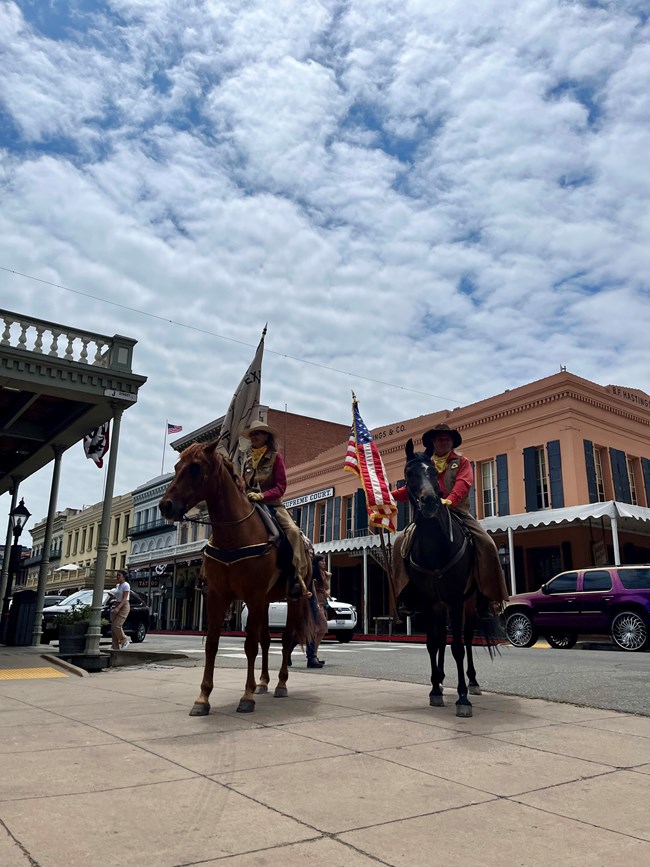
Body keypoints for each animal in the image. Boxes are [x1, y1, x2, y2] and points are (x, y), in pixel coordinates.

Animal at [158, 444, 312, 716]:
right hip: (266, 601)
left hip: (291, 599)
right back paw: (263, 682)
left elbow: (249, 645)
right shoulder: (218, 596)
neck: (234, 534)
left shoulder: (253, 595)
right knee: (267, 640)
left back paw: (281, 684)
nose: (165, 505)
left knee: (285, 640)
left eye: (195, 467)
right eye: (176, 467)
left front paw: (246, 696)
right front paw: (203, 698)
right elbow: (212, 644)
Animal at [400, 440, 496, 720]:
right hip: (439, 605)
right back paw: (440, 679)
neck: (435, 546)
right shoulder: (427, 601)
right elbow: (433, 643)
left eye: (433, 472)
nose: (431, 502)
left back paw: (472, 682)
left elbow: (458, 647)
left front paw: (463, 698)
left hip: (469, 604)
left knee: (466, 638)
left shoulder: (455, 599)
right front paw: (434, 690)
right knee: (442, 639)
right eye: (409, 473)